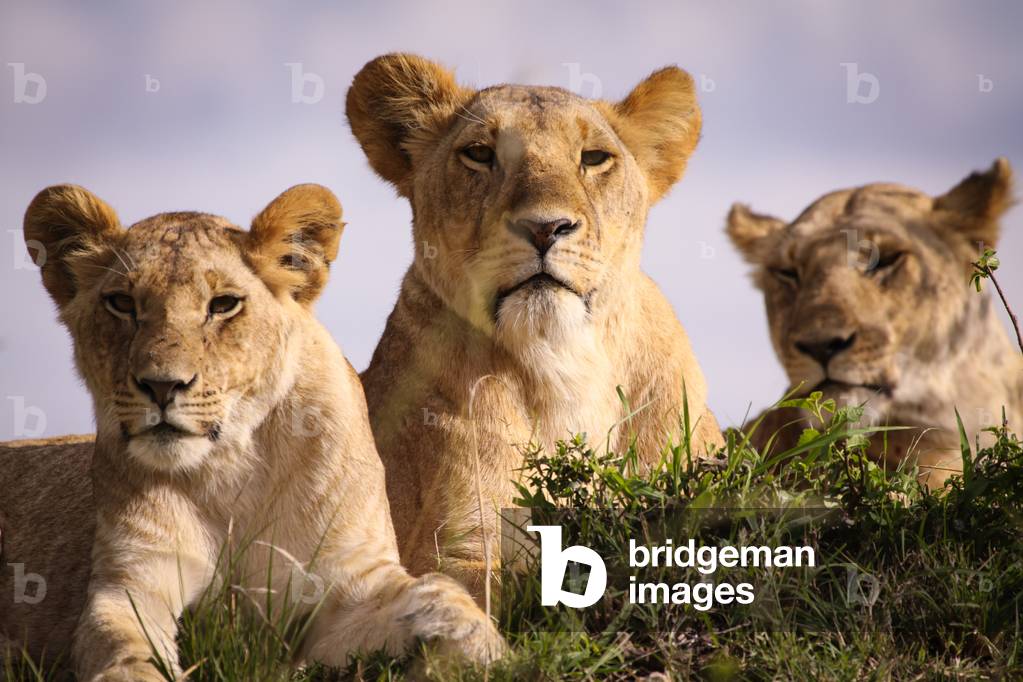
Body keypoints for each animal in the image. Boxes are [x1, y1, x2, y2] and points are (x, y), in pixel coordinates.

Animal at [0, 184, 503, 679]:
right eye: (122, 303)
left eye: (223, 305)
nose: (162, 386)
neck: (230, 472)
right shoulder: (132, 578)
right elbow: (123, 646)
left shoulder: (350, 582)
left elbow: (438, 593)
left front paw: (479, 646)